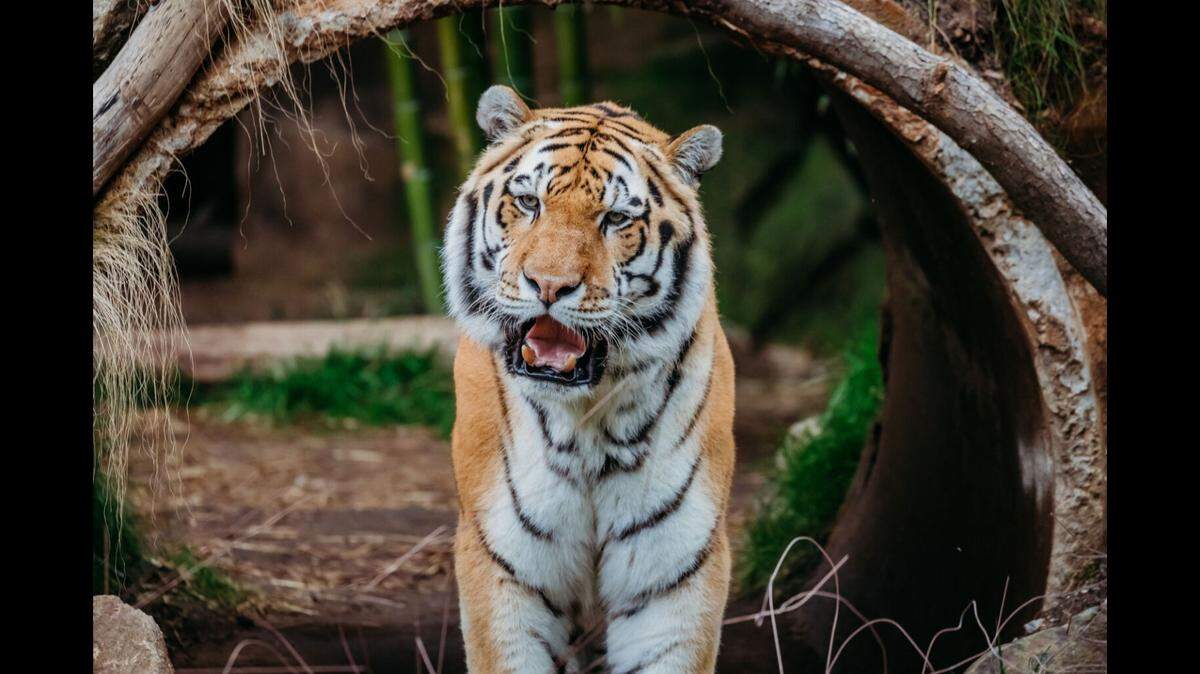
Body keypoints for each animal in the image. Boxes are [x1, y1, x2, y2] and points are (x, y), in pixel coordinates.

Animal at [442, 84, 735, 674]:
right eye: (529, 202)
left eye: (616, 219)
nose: (549, 285)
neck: (587, 419)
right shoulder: (503, 561)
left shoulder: (675, 574)